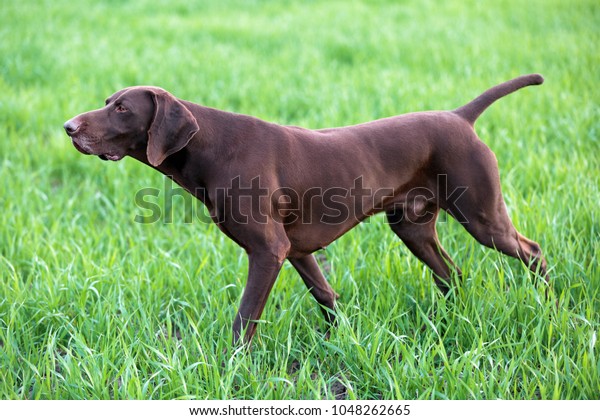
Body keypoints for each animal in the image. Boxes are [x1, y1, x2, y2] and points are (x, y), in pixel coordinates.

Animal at [64, 74, 548, 344]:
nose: (68, 127)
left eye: (122, 108)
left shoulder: (268, 251)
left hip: (483, 217)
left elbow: (244, 320)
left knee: (532, 252)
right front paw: (340, 342)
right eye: (108, 102)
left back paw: (548, 303)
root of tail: (460, 117)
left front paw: (230, 367)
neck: (212, 147)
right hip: (413, 228)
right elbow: (326, 296)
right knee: (453, 275)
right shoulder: (295, 250)